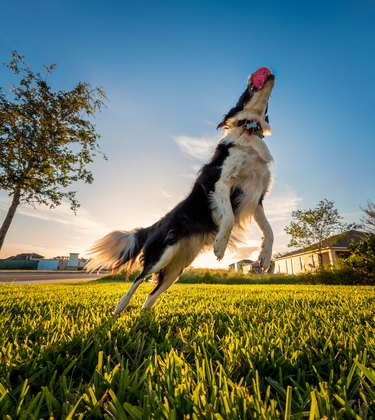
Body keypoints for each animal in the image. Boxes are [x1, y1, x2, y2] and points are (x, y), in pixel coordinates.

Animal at [88, 67, 276, 314]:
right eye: (246, 89)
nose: (268, 72)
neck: (249, 130)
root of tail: (157, 223)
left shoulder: (256, 195)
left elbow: (269, 230)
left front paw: (264, 258)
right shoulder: (220, 182)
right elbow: (227, 217)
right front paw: (220, 247)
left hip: (177, 266)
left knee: (151, 294)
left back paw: (145, 314)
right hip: (162, 254)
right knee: (138, 279)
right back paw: (120, 307)